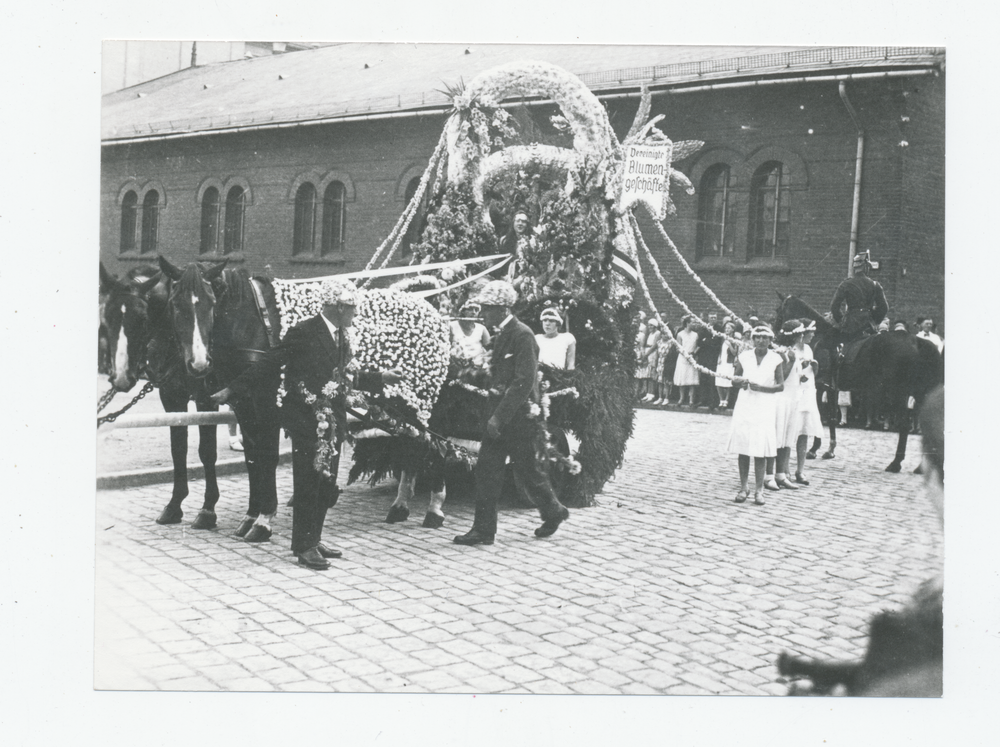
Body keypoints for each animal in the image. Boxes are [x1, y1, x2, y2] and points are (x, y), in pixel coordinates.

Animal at [145, 258, 280, 532]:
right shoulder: (174, 397)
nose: (154, 363)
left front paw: (210, 510)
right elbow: (180, 448)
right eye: (172, 304)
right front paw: (174, 506)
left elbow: (213, 451)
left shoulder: (218, 397)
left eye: (211, 303)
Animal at [772, 294, 944, 474]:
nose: (776, 337)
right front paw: (830, 450)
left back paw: (895, 463)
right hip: (921, 393)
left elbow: (819, 416)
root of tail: (917, 341)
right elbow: (831, 418)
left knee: (904, 426)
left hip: (898, 393)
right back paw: (920, 467)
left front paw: (814, 449)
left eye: (778, 310)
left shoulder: (819, 387)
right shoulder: (831, 389)